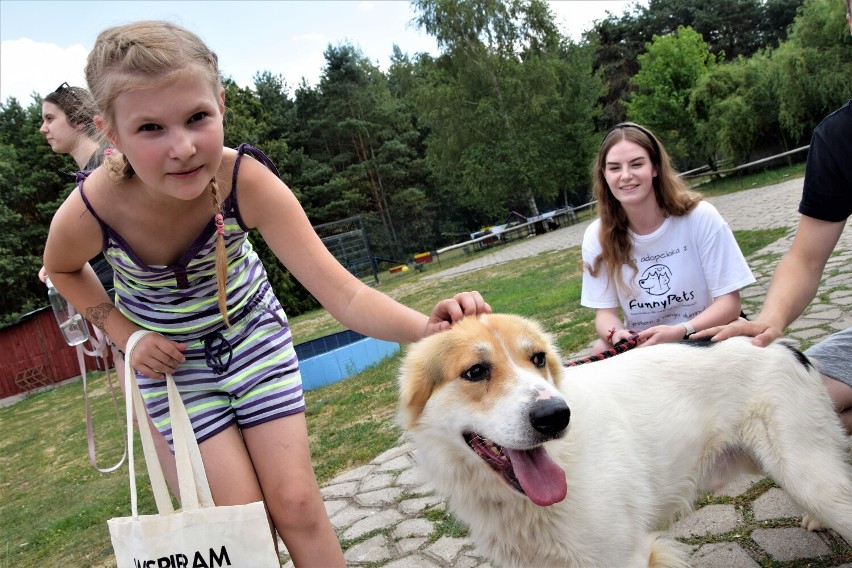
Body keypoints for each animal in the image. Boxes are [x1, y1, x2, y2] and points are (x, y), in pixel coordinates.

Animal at [400, 312, 852, 568]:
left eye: (538, 359)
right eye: (476, 372)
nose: (556, 416)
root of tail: (784, 344)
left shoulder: (627, 556)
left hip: (810, 476)